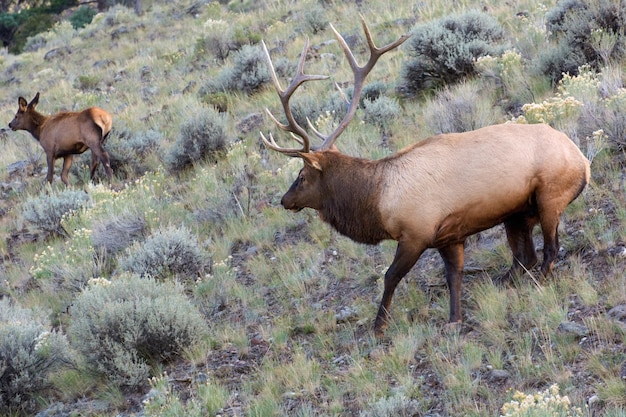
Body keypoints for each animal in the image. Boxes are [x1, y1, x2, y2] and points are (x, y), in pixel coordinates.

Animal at [260, 17, 588, 334]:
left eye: (302, 176)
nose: (284, 200)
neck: (376, 200)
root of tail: (583, 161)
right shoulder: (450, 236)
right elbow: (453, 276)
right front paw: (455, 319)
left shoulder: (415, 233)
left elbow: (390, 276)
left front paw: (379, 326)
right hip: (517, 213)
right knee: (524, 257)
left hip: (550, 196)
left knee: (549, 250)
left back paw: (540, 281)